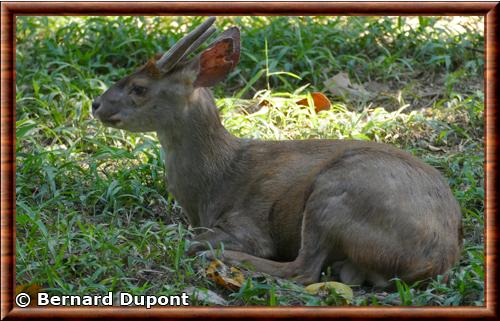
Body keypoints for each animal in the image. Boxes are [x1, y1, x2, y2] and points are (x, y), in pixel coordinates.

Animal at [92, 16, 462, 286]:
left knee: (303, 269)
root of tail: (435, 259)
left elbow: (195, 237)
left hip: (336, 194)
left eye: (139, 88)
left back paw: (221, 259)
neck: (214, 182)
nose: (96, 104)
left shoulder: (248, 227)